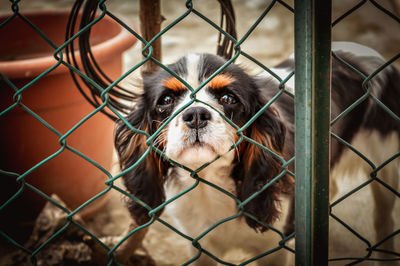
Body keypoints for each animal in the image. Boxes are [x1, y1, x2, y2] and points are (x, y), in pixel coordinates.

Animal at [115, 42, 400, 264]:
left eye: (228, 99)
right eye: (165, 100)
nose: (195, 114)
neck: (210, 182)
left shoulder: (273, 251)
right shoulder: (200, 247)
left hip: (385, 166)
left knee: (383, 217)